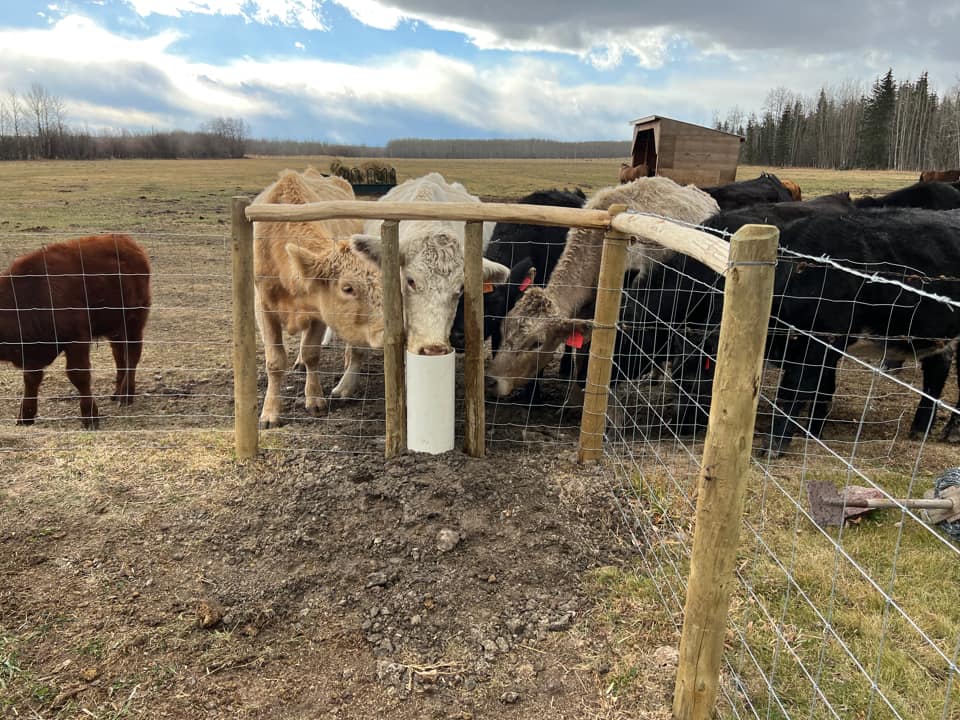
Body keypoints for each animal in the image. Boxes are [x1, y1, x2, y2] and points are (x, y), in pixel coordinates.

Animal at [0, 234, 151, 428]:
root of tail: (127, 242)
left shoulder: (77, 340)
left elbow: (78, 375)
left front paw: (90, 416)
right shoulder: (31, 351)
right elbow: (31, 379)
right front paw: (26, 415)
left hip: (133, 322)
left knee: (132, 355)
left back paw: (126, 395)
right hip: (114, 328)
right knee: (119, 356)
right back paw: (117, 392)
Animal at [252, 169, 383, 428]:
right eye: (347, 288)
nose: (384, 331)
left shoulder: (319, 314)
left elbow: (312, 353)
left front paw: (314, 400)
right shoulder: (263, 307)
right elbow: (275, 361)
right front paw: (270, 413)